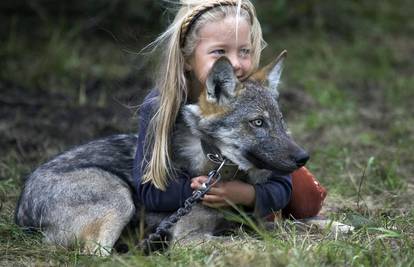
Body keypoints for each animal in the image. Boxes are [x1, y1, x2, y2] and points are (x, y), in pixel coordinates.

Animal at [16, 51, 310, 256]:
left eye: (280, 121)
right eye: (257, 122)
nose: (304, 157)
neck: (216, 164)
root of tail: (21, 210)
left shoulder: (255, 222)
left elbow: (309, 223)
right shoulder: (188, 239)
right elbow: (250, 243)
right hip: (121, 198)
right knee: (95, 253)